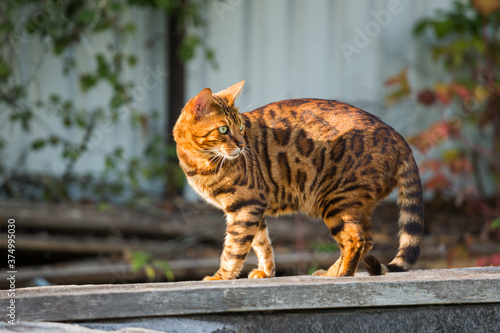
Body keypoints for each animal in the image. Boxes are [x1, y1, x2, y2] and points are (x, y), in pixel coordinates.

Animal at [174, 81, 424, 280]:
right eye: (224, 129)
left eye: (241, 126)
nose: (243, 145)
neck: (197, 161)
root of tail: (399, 138)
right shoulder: (253, 208)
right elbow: (262, 243)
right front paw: (267, 272)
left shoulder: (246, 205)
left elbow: (234, 248)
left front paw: (221, 277)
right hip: (359, 204)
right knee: (368, 240)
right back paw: (331, 272)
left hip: (336, 199)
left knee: (356, 240)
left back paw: (342, 275)